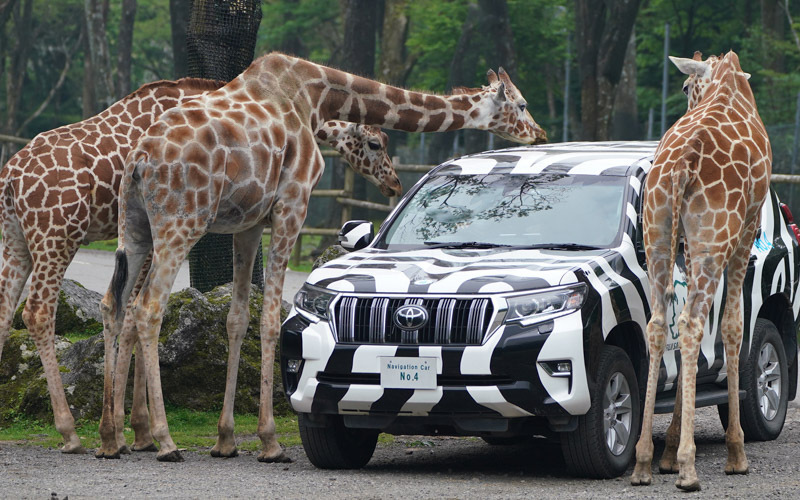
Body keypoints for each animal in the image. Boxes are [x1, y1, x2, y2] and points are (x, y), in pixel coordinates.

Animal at [95, 52, 544, 462]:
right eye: (522, 104)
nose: (539, 134)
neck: (316, 97)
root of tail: (139, 160)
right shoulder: (292, 203)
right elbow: (270, 318)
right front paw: (270, 442)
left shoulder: (249, 222)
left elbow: (237, 318)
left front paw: (225, 440)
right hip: (181, 221)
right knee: (148, 308)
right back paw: (163, 440)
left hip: (135, 227)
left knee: (115, 304)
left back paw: (110, 437)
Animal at [632, 50, 768, 492]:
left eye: (684, 87)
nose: (685, 107)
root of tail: (683, 164)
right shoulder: (744, 231)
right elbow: (732, 326)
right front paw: (735, 454)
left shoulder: (687, 246)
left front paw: (669, 450)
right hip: (714, 239)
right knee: (692, 322)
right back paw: (690, 468)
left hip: (657, 234)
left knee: (660, 323)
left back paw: (644, 461)